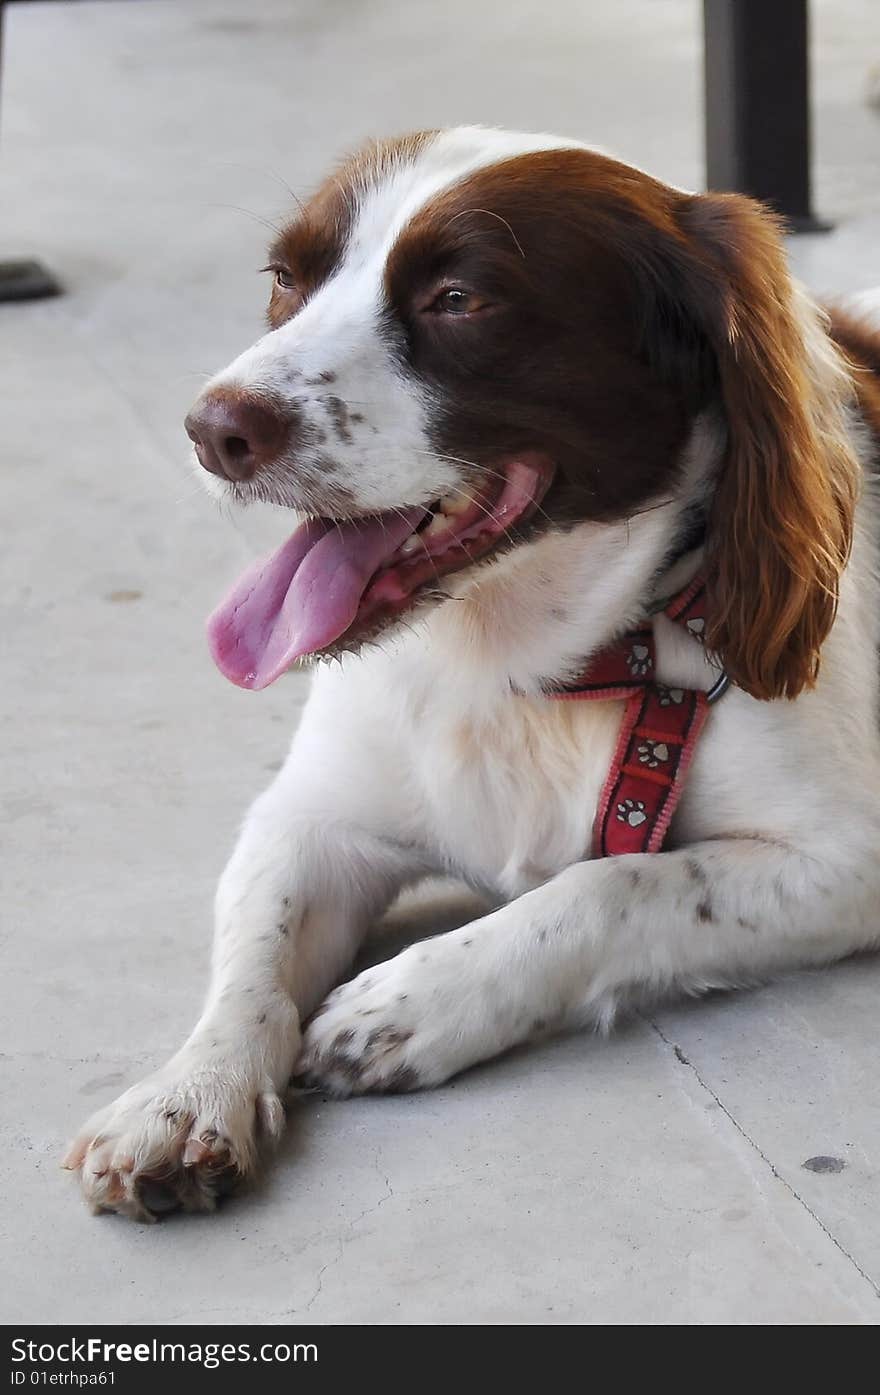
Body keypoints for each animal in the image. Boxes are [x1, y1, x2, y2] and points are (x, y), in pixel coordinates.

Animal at [63, 128, 880, 1222]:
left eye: (459, 298)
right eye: (285, 279)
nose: (213, 429)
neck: (532, 671)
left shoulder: (849, 858)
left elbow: (613, 882)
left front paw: (405, 1005)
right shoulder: (310, 818)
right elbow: (254, 959)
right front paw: (185, 1092)